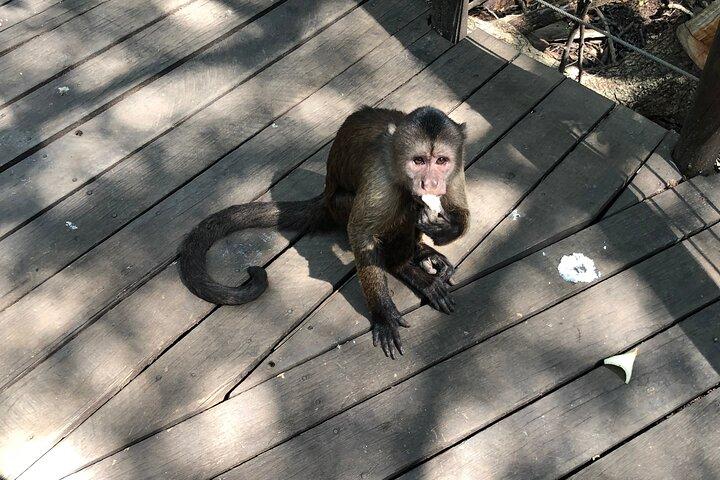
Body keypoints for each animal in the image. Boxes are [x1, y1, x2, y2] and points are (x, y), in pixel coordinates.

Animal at [178, 105, 469, 358]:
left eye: (441, 161)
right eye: (418, 161)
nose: (430, 183)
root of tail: (326, 198)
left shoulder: (455, 169)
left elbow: (461, 214)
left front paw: (443, 228)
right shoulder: (381, 177)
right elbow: (361, 234)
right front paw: (383, 313)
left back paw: (419, 253)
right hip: (339, 207)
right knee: (400, 206)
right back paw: (403, 267)